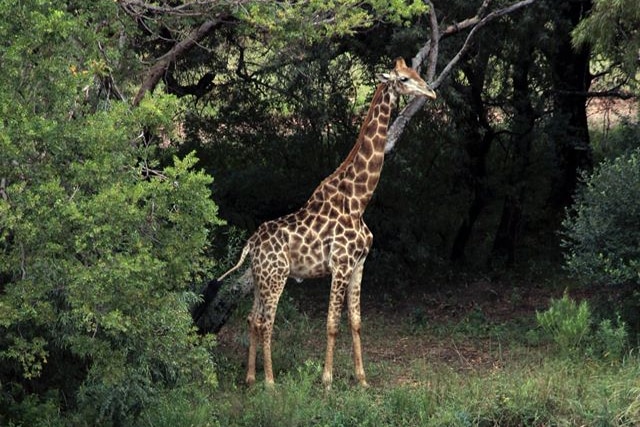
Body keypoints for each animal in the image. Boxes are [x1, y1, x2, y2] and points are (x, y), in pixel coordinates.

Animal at [218, 58, 438, 390]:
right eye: (403, 79)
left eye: (417, 73)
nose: (431, 92)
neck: (358, 201)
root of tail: (250, 244)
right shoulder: (341, 265)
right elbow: (333, 324)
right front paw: (327, 381)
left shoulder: (360, 264)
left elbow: (356, 321)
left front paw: (362, 380)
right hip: (276, 276)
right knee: (265, 321)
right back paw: (270, 383)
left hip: (259, 278)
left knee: (251, 318)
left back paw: (250, 377)